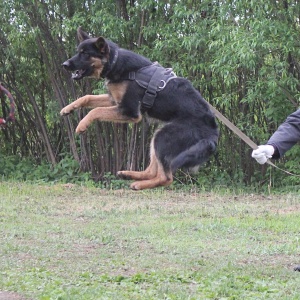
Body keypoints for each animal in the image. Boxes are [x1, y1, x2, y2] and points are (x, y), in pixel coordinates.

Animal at [61, 27, 219, 189]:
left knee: (166, 178)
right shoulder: (115, 101)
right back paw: (129, 175)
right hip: (157, 137)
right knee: (152, 171)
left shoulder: (129, 112)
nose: (64, 64)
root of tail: (213, 133)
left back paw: (139, 184)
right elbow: (87, 97)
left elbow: (95, 110)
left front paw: (82, 125)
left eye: (85, 54)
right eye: (78, 51)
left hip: (163, 137)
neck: (115, 62)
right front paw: (68, 108)